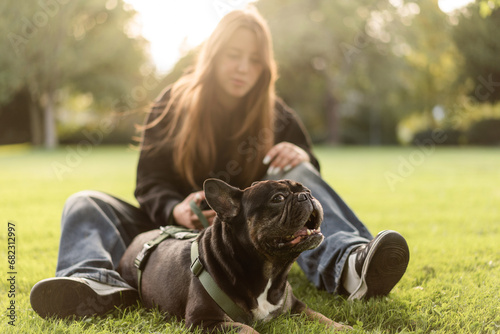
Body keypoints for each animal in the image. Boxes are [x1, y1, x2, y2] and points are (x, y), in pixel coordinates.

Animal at [118, 179, 350, 332]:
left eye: (307, 190)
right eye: (278, 198)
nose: (308, 195)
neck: (271, 272)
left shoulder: (296, 306)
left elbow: (320, 316)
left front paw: (343, 327)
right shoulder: (205, 321)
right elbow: (247, 329)